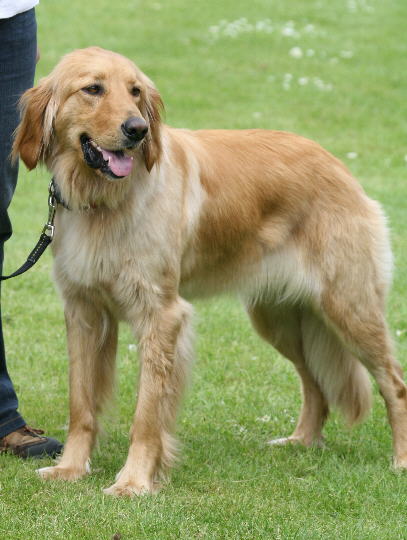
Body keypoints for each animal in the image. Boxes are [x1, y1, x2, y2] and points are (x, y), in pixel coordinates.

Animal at [12, 47, 407, 496]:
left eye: (135, 92)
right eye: (93, 89)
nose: (138, 130)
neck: (103, 199)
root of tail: (340, 168)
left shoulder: (161, 315)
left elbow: (147, 415)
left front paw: (134, 482)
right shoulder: (83, 312)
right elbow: (81, 405)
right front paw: (71, 469)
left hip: (349, 308)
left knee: (394, 383)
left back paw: (400, 459)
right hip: (279, 319)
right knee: (314, 382)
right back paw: (302, 441)